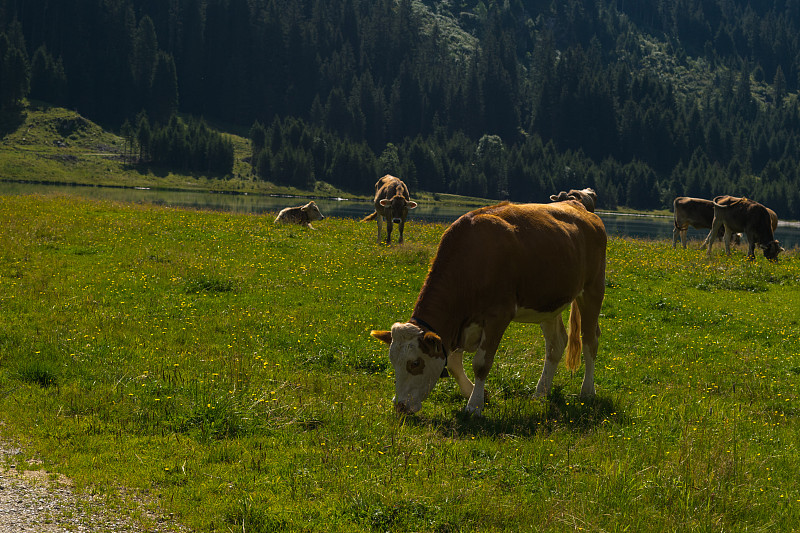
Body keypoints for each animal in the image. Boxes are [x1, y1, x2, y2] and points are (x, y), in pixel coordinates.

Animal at [368, 200, 608, 416]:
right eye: (392, 361)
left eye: (415, 363)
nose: (399, 406)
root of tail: (579, 206)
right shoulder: (459, 326)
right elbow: (453, 363)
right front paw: (478, 393)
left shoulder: (498, 316)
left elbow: (481, 363)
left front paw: (474, 406)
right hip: (549, 302)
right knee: (556, 344)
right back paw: (541, 393)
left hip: (593, 289)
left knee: (590, 340)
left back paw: (587, 391)